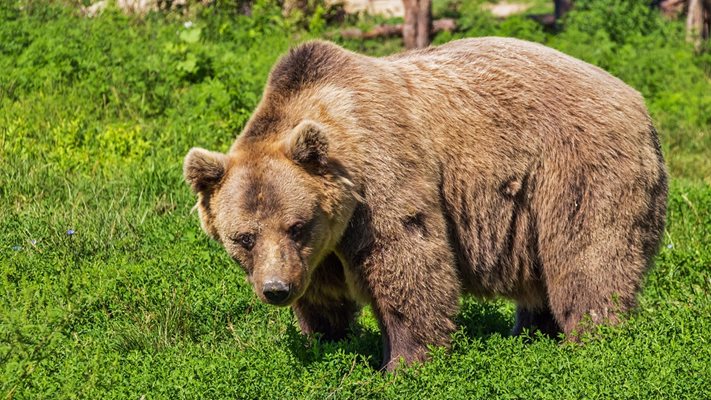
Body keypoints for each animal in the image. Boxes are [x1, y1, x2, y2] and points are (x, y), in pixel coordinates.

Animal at [182, 38, 668, 372]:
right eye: (243, 237)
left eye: (296, 225)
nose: (276, 289)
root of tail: (638, 100)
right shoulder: (321, 247)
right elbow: (323, 295)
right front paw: (327, 340)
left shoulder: (382, 177)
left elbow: (407, 262)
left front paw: (404, 362)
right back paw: (531, 333)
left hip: (578, 168)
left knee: (588, 257)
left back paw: (592, 340)